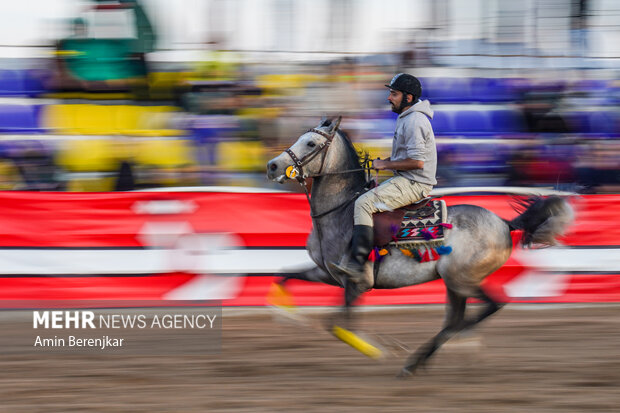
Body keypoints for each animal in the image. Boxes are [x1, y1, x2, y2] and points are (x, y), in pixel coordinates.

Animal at [264, 116, 572, 376]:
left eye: (311, 143)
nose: (272, 166)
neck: (340, 211)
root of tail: (505, 223)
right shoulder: (327, 273)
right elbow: (283, 277)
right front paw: (288, 317)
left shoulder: (357, 281)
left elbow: (338, 327)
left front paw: (380, 351)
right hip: (454, 283)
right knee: (454, 320)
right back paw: (422, 360)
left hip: (462, 279)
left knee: (487, 307)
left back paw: (429, 355)